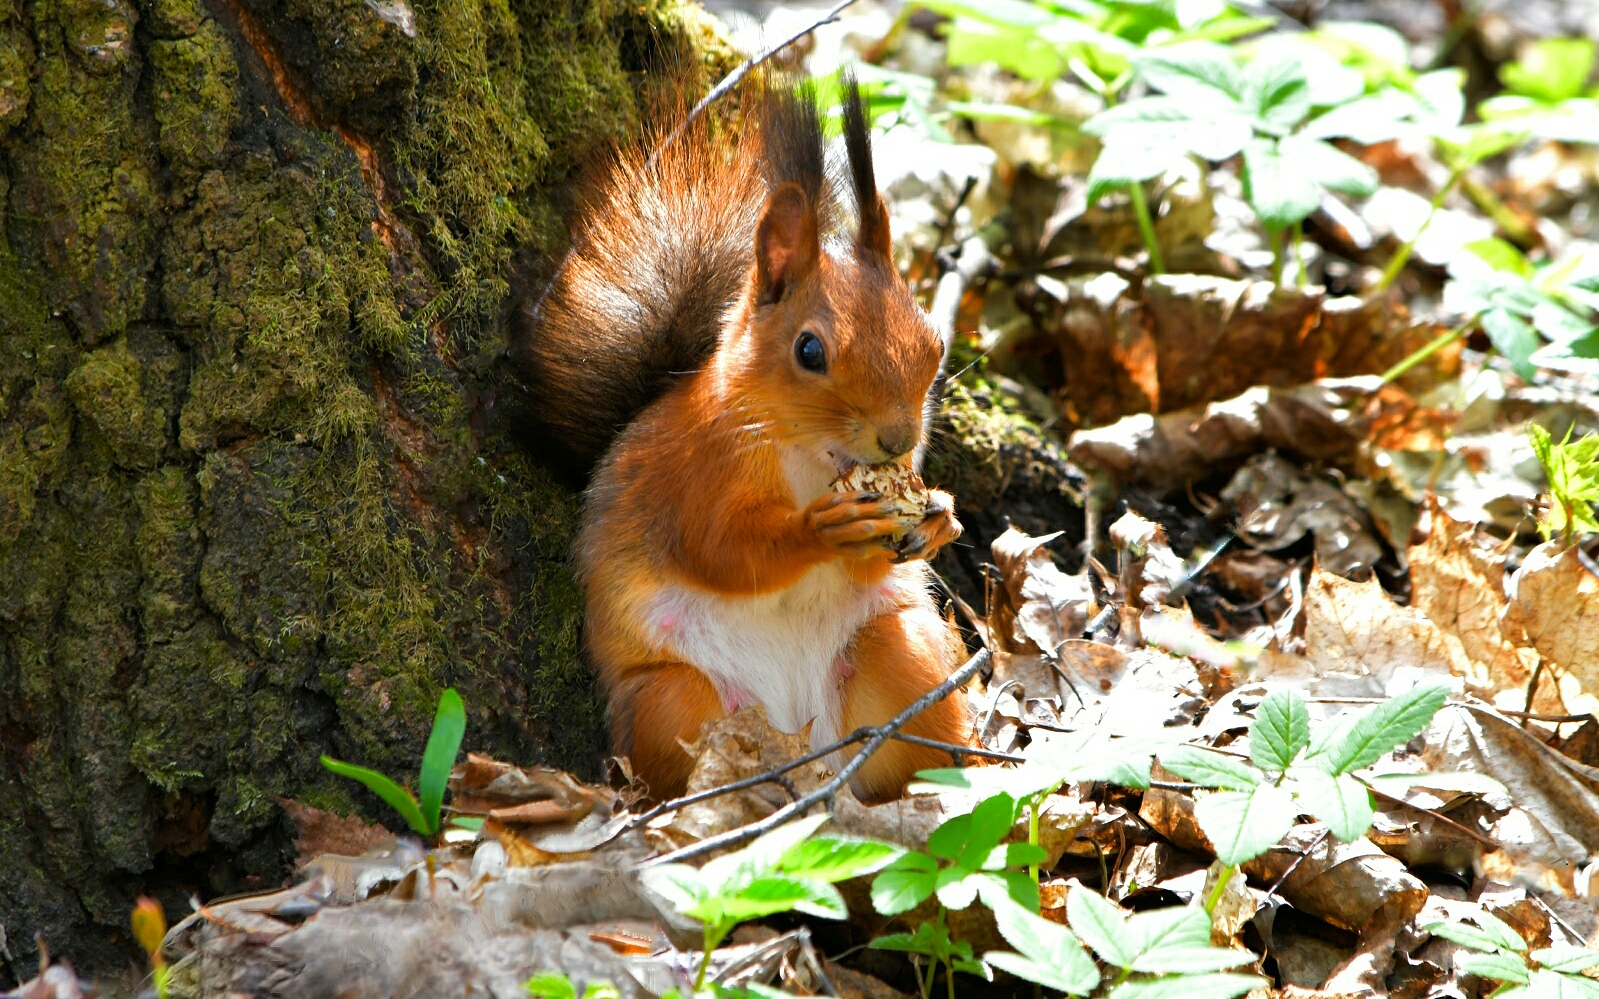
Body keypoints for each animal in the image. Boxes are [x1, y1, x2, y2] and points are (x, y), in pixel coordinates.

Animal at [510, 76, 972, 804]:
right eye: (809, 350)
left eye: (934, 342)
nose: (899, 439)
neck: (810, 457)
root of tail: (801, 749)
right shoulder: (690, 473)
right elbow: (721, 550)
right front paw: (820, 528)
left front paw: (939, 517)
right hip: (673, 701)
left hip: (900, 655)